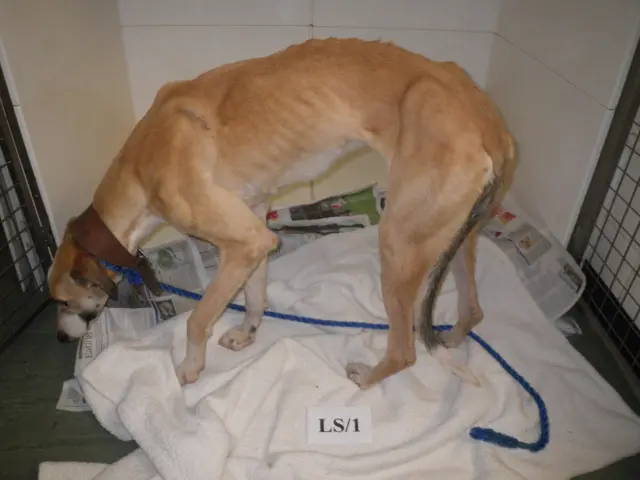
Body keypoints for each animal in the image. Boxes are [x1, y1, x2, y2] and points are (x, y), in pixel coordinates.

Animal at [46, 38, 516, 390]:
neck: (140, 165)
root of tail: (490, 123)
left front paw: (189, 368)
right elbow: (255, 295)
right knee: (470, 311)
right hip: (452, 238)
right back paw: (451, 340)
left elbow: (197, 320)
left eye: (63, 300)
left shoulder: (244, 241)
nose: (59, 337)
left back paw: (366, 379)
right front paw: (247, 333)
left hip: (398, 243)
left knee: (404, 350)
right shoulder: (255, 230)